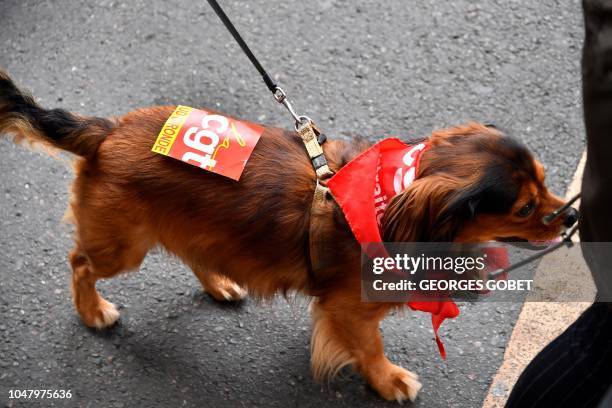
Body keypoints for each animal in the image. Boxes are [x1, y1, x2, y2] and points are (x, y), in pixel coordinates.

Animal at [1, 71, 572, 404]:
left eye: (546, 181)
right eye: (524, 208)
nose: (570, 218)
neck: (389, 201)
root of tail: (108, 131)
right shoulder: (348, 311)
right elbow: (370, 347)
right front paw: (388, 380)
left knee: (195, 253)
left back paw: (219, 284)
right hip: (123, 246)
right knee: (80, 264)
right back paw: (93, 311)